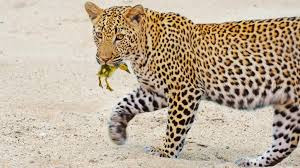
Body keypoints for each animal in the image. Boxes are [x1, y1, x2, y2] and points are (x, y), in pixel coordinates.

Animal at [84, 1, 300, 167]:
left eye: (119, 37)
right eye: (98, 35)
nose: (103, 59)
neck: (142, 51)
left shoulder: (183, 91)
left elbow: (175, 127)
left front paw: (165, 153)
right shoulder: (155, 92)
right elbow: (124, 103)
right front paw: (116, 131)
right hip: (289, 105)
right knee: (286, 141)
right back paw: (250, 162)